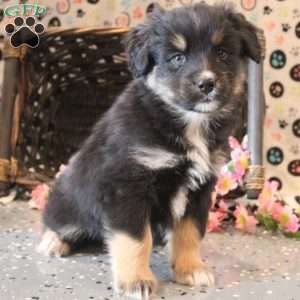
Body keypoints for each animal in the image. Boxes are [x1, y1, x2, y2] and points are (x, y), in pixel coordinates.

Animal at [39, 2, 260, 300]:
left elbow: (190, 232)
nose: (207, 83)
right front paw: (136, 281)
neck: (186, 123)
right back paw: (53, 241)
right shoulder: (128, 184)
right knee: (58, 221)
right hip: (67, 200)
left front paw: (191, 269)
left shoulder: (200, 188)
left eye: (223, 53)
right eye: (177, 58)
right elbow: (135, 239)